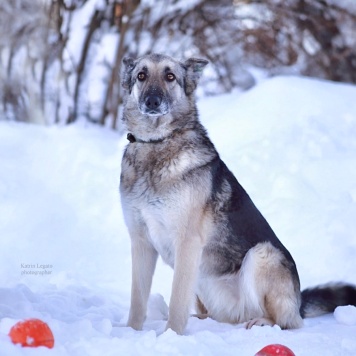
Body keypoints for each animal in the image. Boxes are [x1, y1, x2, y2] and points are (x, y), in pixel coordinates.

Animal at [119, 52, 356, 334]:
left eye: (170, 76)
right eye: (141, 76)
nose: (152, 101)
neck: (157, 144)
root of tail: (298, 302)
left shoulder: (187, 243)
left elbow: (176, 303)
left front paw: (170, 336)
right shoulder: (140, 241)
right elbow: (137, 300)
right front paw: (131, 333)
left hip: (261, 255)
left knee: (288, 322)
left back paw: (263, 322)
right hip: (204, 287)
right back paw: (203, 320)